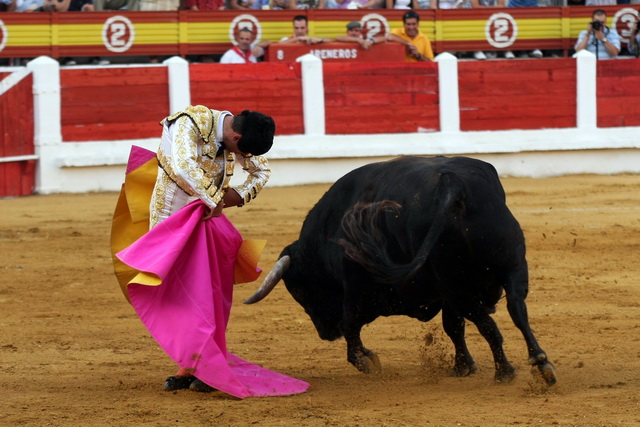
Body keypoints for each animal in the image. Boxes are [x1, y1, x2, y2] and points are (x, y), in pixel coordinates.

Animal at [248, 155, 556, 386]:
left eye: (299, 291)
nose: (325, 333)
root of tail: (452, 184)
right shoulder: (447, 292)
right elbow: (453, 326)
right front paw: (463, 366)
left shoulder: (359, 293)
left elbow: (350, 326)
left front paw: (367, 361)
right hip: (510, 266)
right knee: (516, 309)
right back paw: (541, 363)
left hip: (457, 284)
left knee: (488, 324)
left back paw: (506, 371)